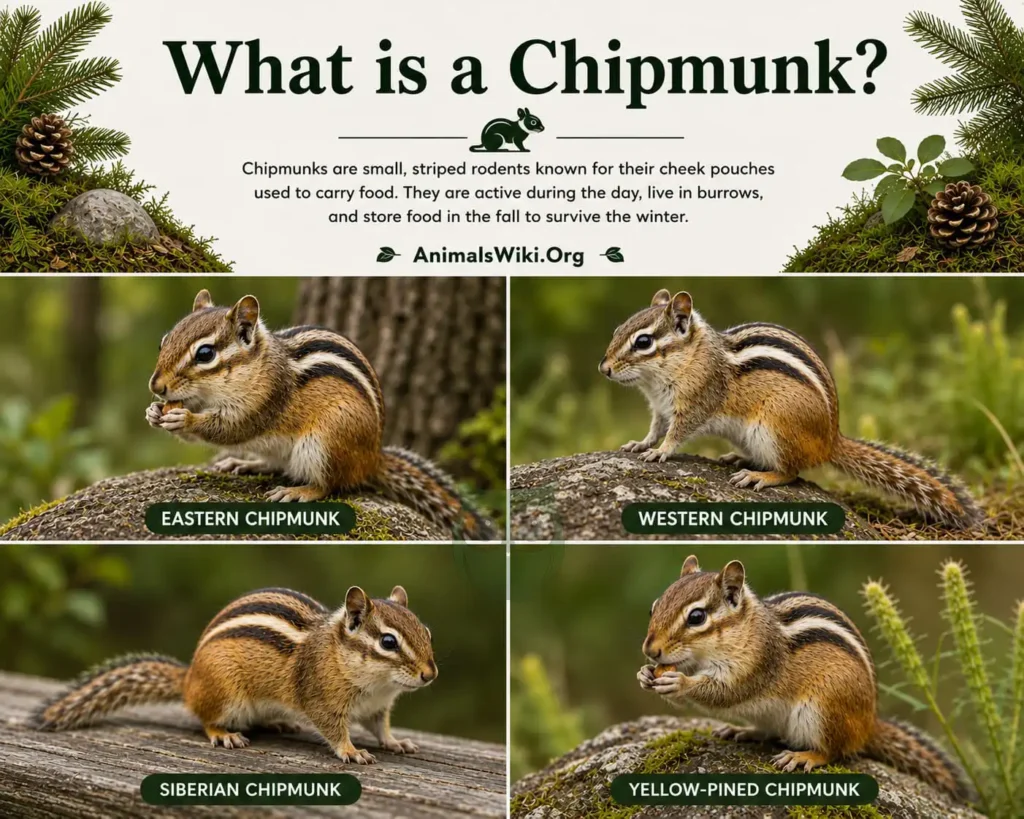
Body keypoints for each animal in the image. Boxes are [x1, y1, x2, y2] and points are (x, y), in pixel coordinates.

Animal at [33, 586, 436, 764]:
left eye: (427, 632)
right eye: (388, 642)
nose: (430, 675)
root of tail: (189, 679)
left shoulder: (377, 708)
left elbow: (381, 728)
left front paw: (396, 742)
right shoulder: (322, 701)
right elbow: (335, 731)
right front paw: (352, 751)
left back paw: (277, 723)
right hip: (225, 694)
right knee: (205, 718)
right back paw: (224, 735)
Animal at [145, 289, 497, 540]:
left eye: (205, 354)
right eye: (164, 341)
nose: (156, 386)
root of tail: (372, 458)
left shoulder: (265, 401)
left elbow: (232, 428)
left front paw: (185, 419)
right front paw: (154, 412)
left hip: (325, 442)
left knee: (330, 485)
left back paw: (298, 491)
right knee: (278, 464)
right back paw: (246, 464)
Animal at [599, 288, 981, 529]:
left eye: (643, 342)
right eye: (617, 330)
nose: (604, 368)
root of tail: (831, 440)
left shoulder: (696, 401)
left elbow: (677, 432)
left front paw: (661, 452)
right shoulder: (659, 408)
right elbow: (654, 428)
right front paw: (640, 444)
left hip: (774, 428)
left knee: (792, 472)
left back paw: (759, 475)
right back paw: (738, 458)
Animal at [638, 555, 974, 802]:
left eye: (696, 617)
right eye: (654, 607)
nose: (650, 650)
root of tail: (869, 724)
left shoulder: (758, 664)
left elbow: (725, 692)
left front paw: (679, 683)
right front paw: (644, 675)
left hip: (822, 709)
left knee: (835, 751)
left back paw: (805, 757)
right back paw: (743, 731)